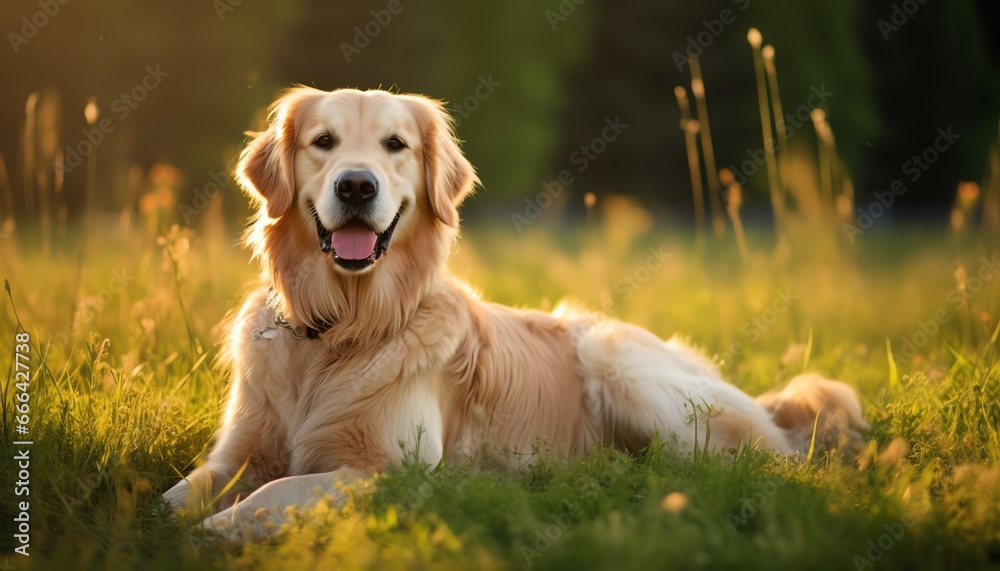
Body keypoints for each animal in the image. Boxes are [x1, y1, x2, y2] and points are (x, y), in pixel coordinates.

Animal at [162, 86, 868, 540]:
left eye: (394, 144)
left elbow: (270, 494)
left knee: (760, 463)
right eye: (323, 142)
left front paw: (215, 531)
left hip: (621, 365)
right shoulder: (238, 452)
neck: (340, 327)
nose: (356, 184)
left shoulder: (388, 471)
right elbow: (178, 494)